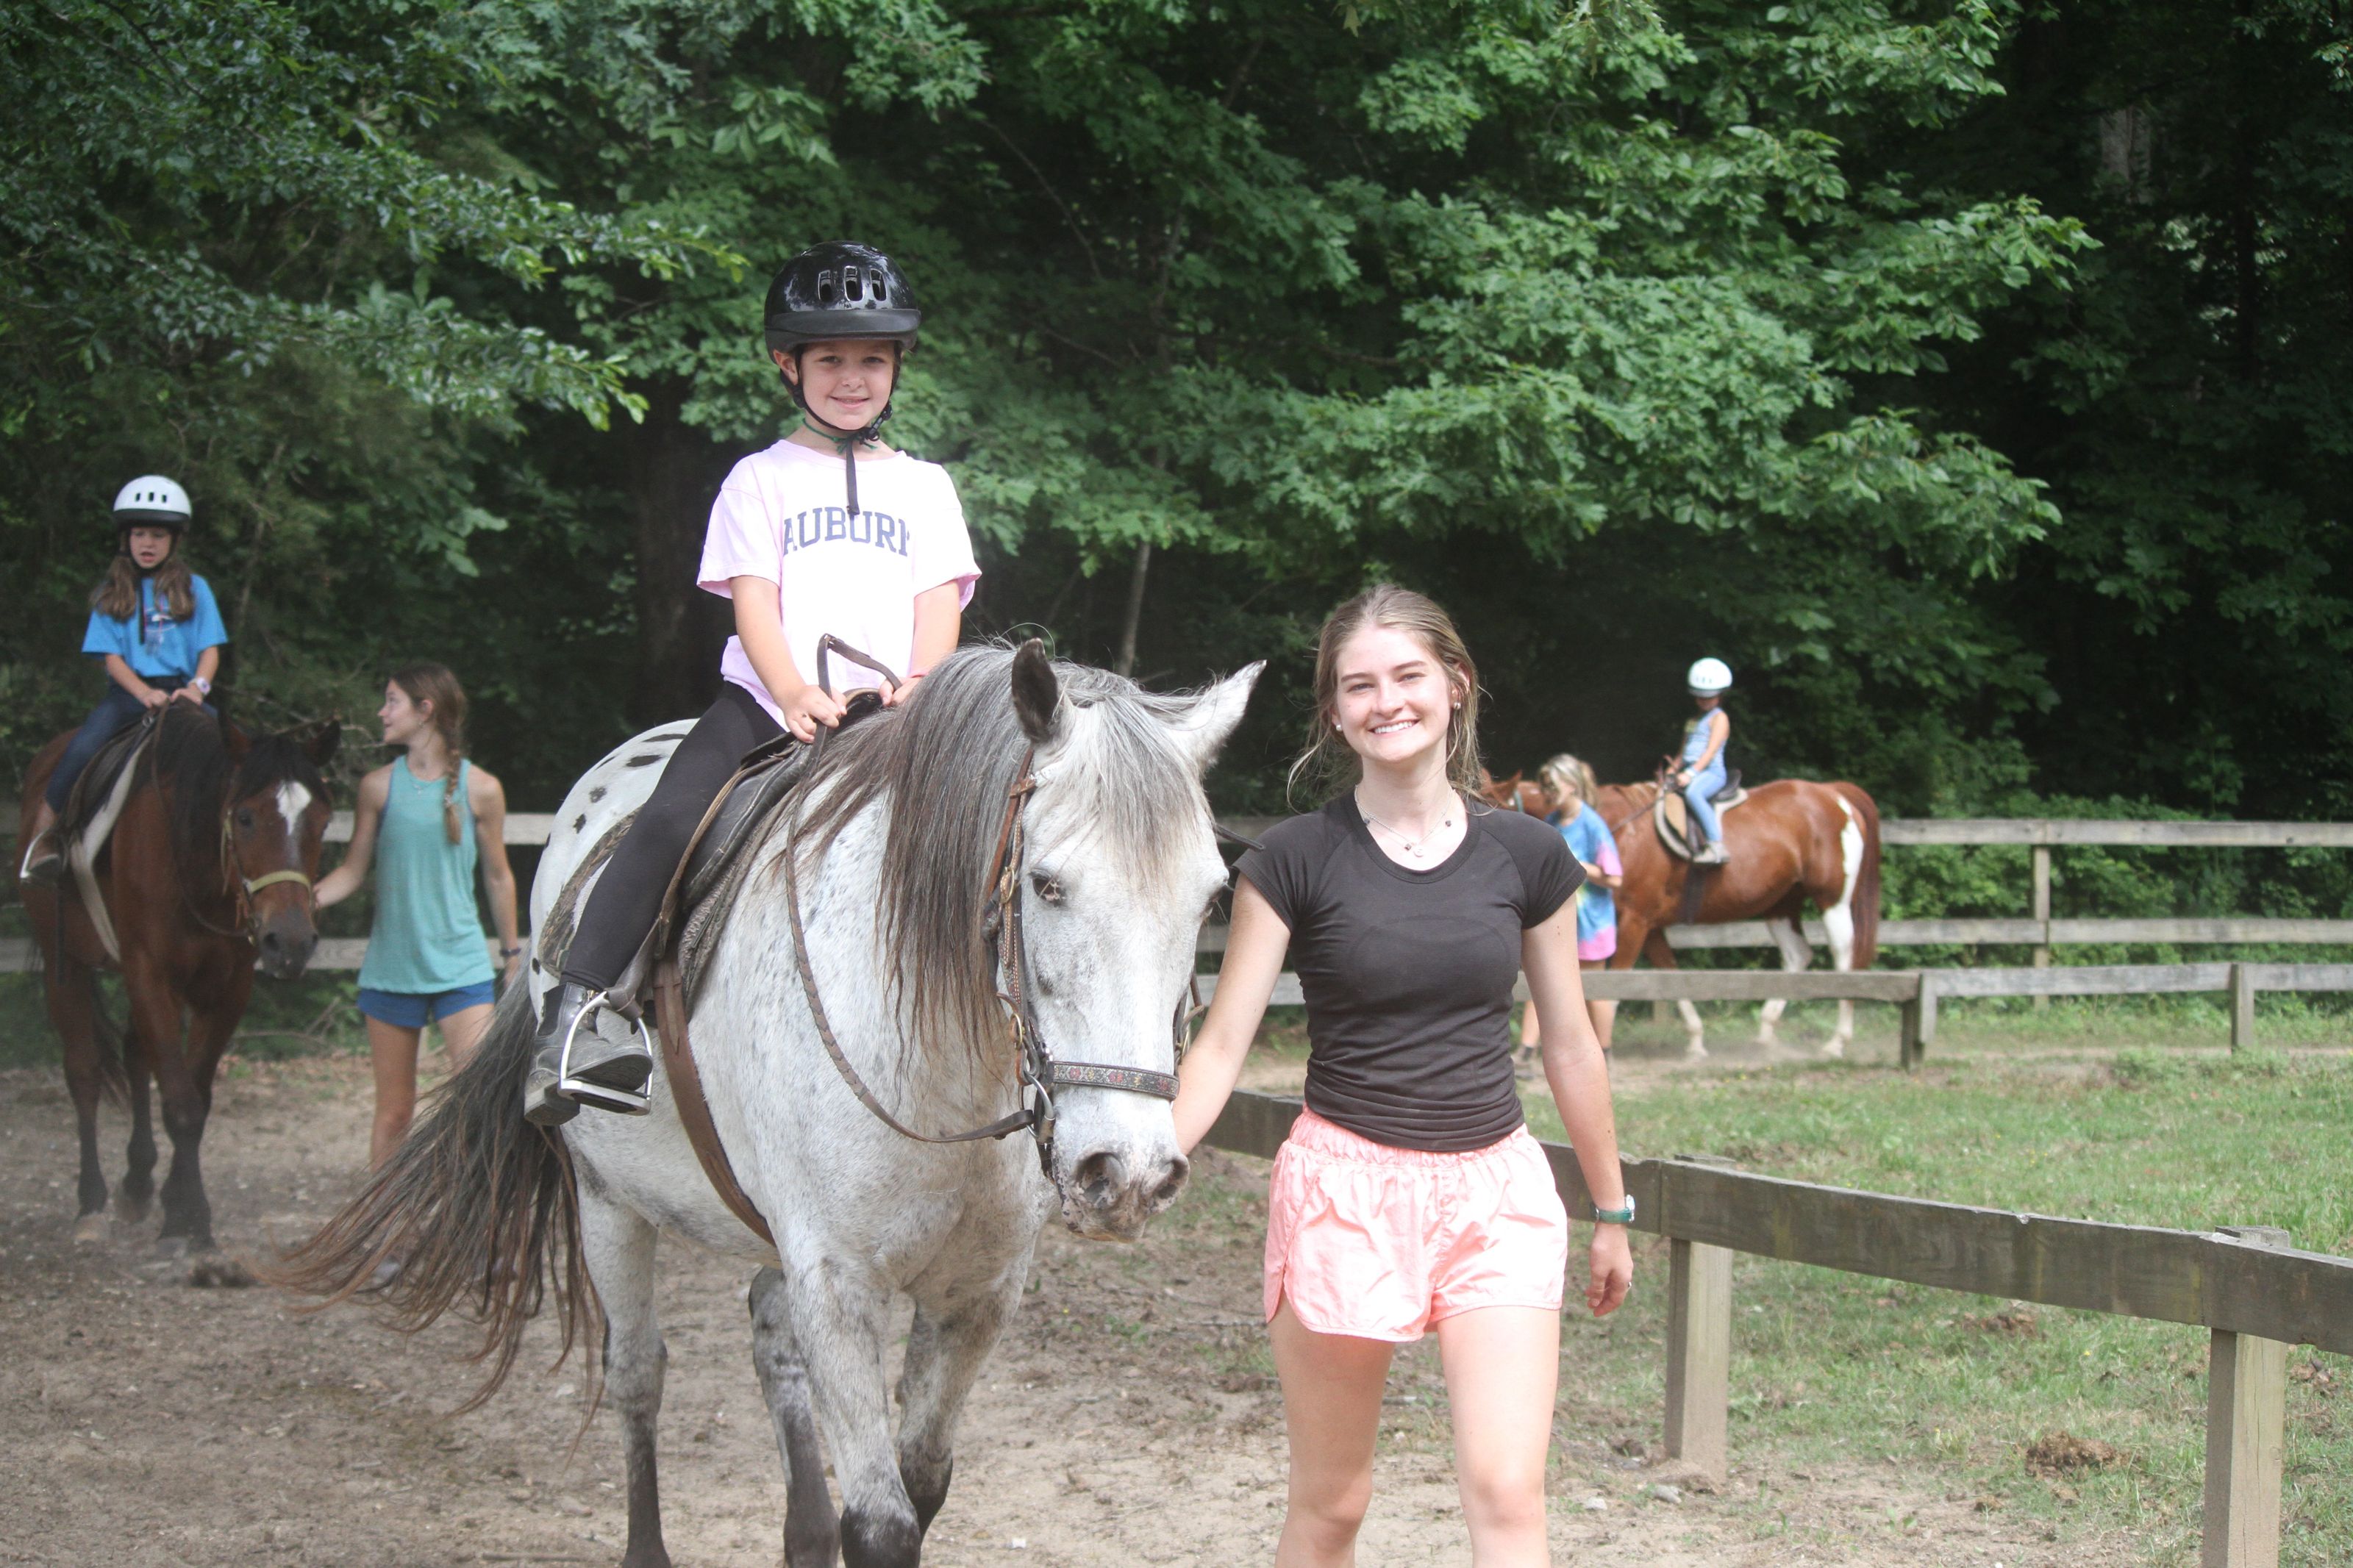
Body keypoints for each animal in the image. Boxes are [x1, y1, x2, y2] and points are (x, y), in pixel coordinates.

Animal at [16, 701, 336, 1254]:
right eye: (245, 817)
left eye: (320, 821)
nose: (291, 942)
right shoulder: (150, 972)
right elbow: (182, 1103)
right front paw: (192, 1221)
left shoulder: (226, 987)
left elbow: (196, 1097)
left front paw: (180, 1209)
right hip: (68, 967)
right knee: (83, 1072)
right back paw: (91, 1202)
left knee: (135, 1054)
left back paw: (138, 1183)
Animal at [277, 643, 1259, 1568]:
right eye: (1047, 885)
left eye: (1211, 898)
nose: (1124, 1174)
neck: (943, 1080)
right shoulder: (838, 1283)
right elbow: (881, 1525)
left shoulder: (975, 1295)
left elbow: (923, 1484)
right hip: (608, 1204)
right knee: (637, 1374)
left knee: (766, 1340)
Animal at [1593, 776, 1881, 1058]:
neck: (1623, 832)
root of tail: (1832, 792)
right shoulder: (1649, 926)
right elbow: (1670, 971)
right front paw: (1696, 1040)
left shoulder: (1635, 921)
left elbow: (1615, 988)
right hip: (1782, 905)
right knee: (1798, 955)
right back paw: (1767, 1031)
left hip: (1833, 902)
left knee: (1843, 958)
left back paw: (1837, 1041)